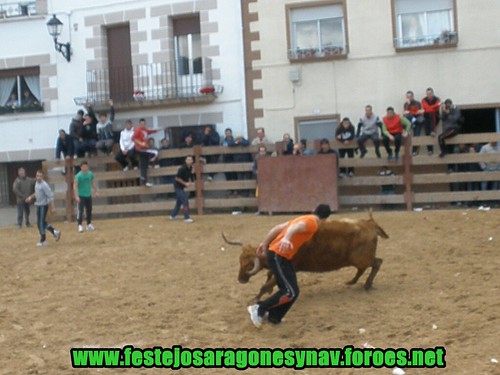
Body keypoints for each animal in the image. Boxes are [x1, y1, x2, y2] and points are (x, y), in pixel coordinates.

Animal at [224, 213, 390, 304]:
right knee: (364, 268)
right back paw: (352, 281)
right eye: (240, 261)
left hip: (362, 258)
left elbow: (265, 286)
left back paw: (367, 285)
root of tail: (369, 223)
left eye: (248, 265)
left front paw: (254, 299)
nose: (240, 279)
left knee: (377, 263)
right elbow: (269, 279)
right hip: (358, 259)